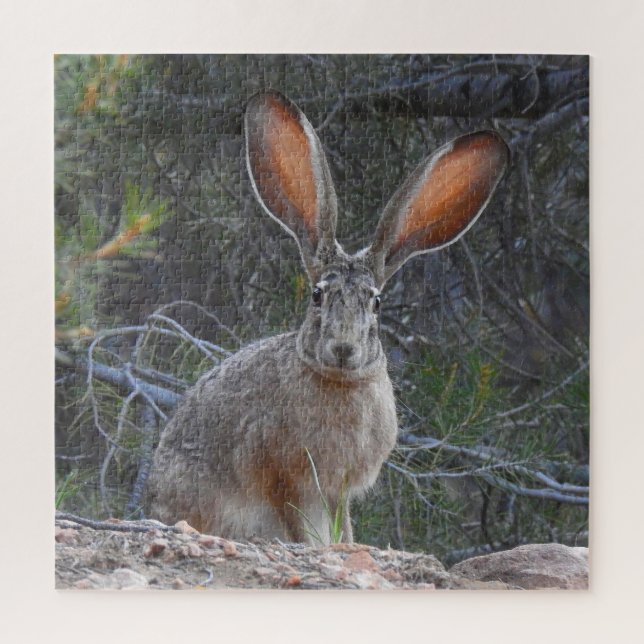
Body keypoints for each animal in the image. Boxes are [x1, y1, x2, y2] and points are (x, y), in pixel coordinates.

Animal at [146, 90, 509, 545]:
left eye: (376, 303)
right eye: (317, 296)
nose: (343, 348)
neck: (340, 382)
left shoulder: (338, 491)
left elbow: (344, 527)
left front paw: (346, 546)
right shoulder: (282, 476)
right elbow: (298, 525)